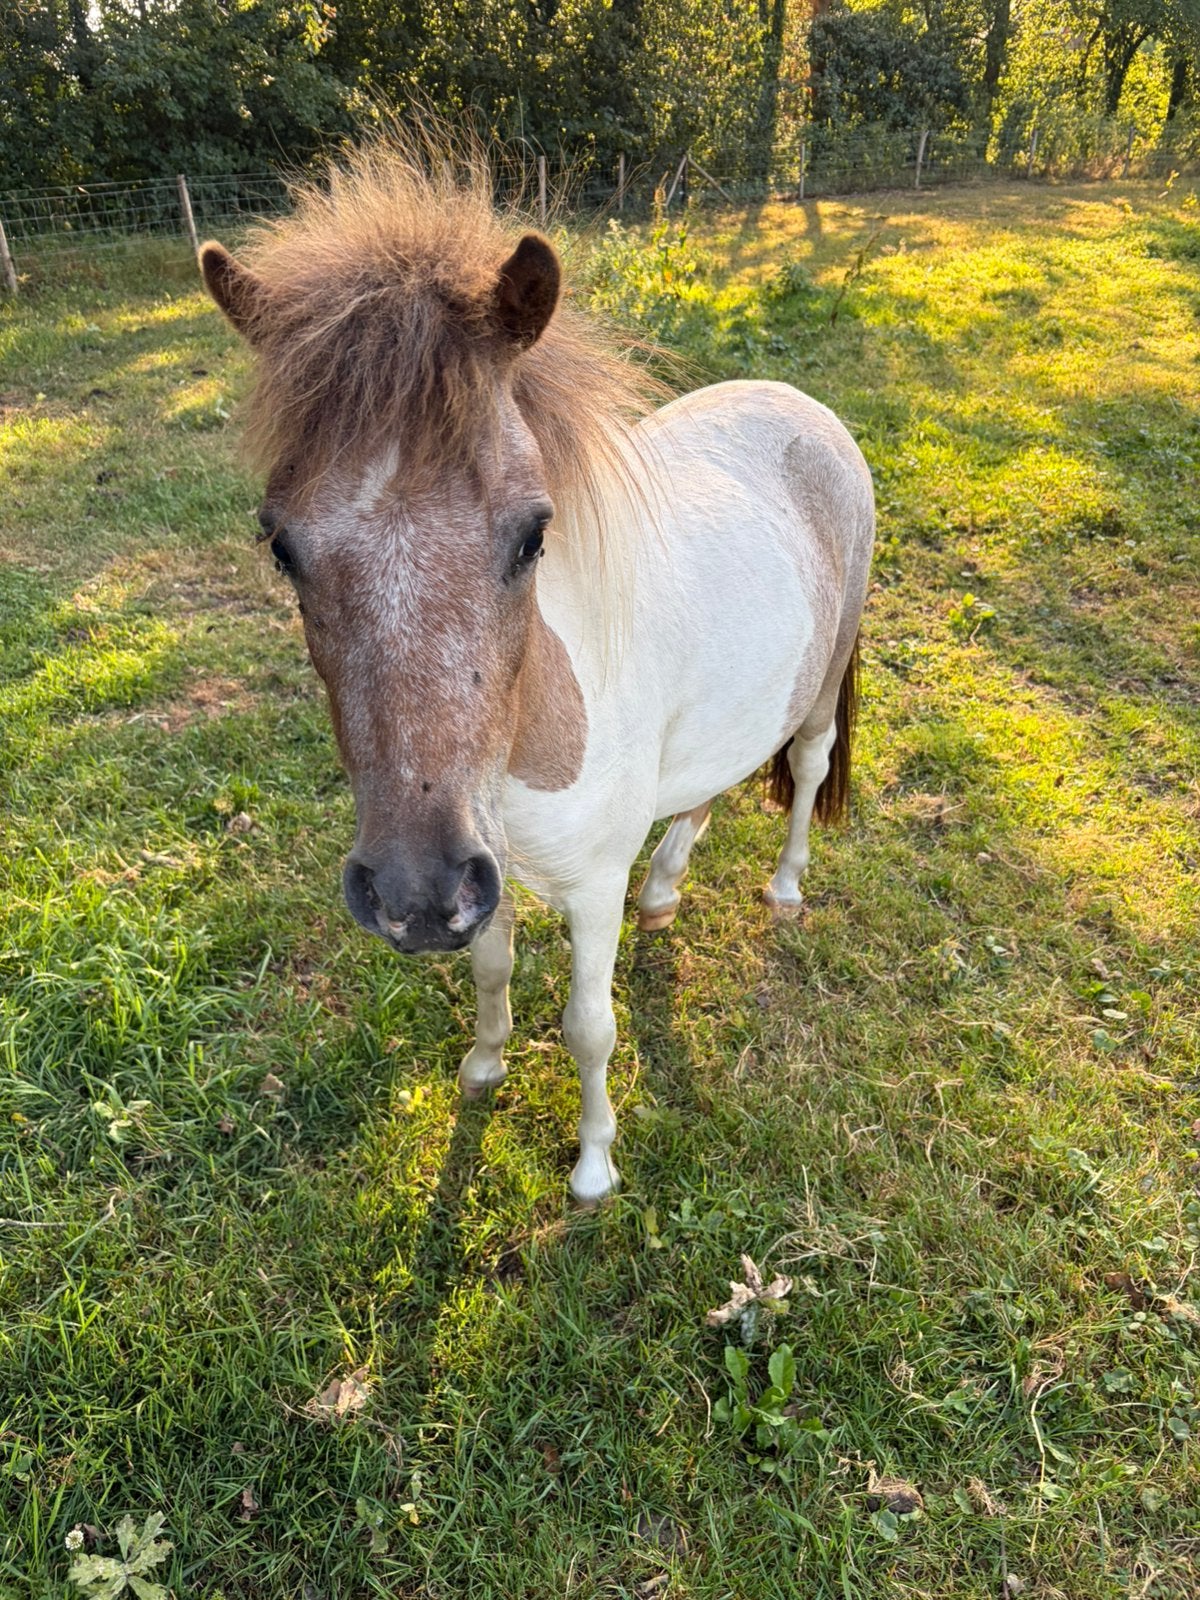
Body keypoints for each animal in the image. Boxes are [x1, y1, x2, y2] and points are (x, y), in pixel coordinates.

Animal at [199, 140, 874, 1205]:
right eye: (280, 546)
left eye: (533, 534)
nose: (412, 893)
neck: (522, 731)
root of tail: (801, 406)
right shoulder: (489, 874)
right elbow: (489, 974)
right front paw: (483, 1067)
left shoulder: (586, 889)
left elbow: (590, 1029)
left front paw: (594, 1165)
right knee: (709, 785)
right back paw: (666, 888)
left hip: (825, 676)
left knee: (805, 766)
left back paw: (786, 887)